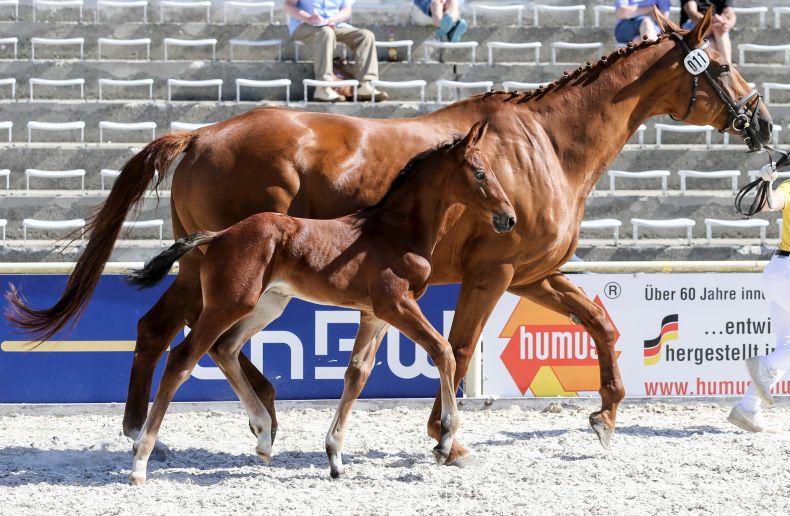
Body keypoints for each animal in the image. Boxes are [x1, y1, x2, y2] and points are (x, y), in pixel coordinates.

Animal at [126, 121, 516, 484]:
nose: (509, 218)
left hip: (267, 304)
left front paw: (335, 456)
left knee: (224, 347)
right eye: (480, 173)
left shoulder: (375, 315)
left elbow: (357, 373)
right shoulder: (397, 304)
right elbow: (443, 351)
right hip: (230, 303)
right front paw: (446, 440)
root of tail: (220, 235)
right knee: (182, 359)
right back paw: (140, 461)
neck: (396, 232)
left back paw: (263, 435)